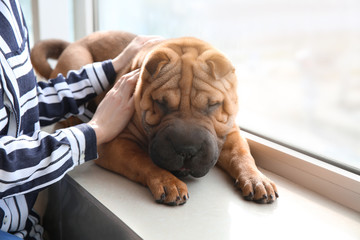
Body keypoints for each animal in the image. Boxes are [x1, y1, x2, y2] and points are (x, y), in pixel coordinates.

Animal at [31, 31, 278, 205]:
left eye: (213, 105)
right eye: (161, 103)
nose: (187, 150)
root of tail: (75, 42)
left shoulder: (232, 132)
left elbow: (241, 155)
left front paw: (257, 179)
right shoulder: (114, 144)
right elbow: (144, 160)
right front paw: (168, 183)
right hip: (78, 59)